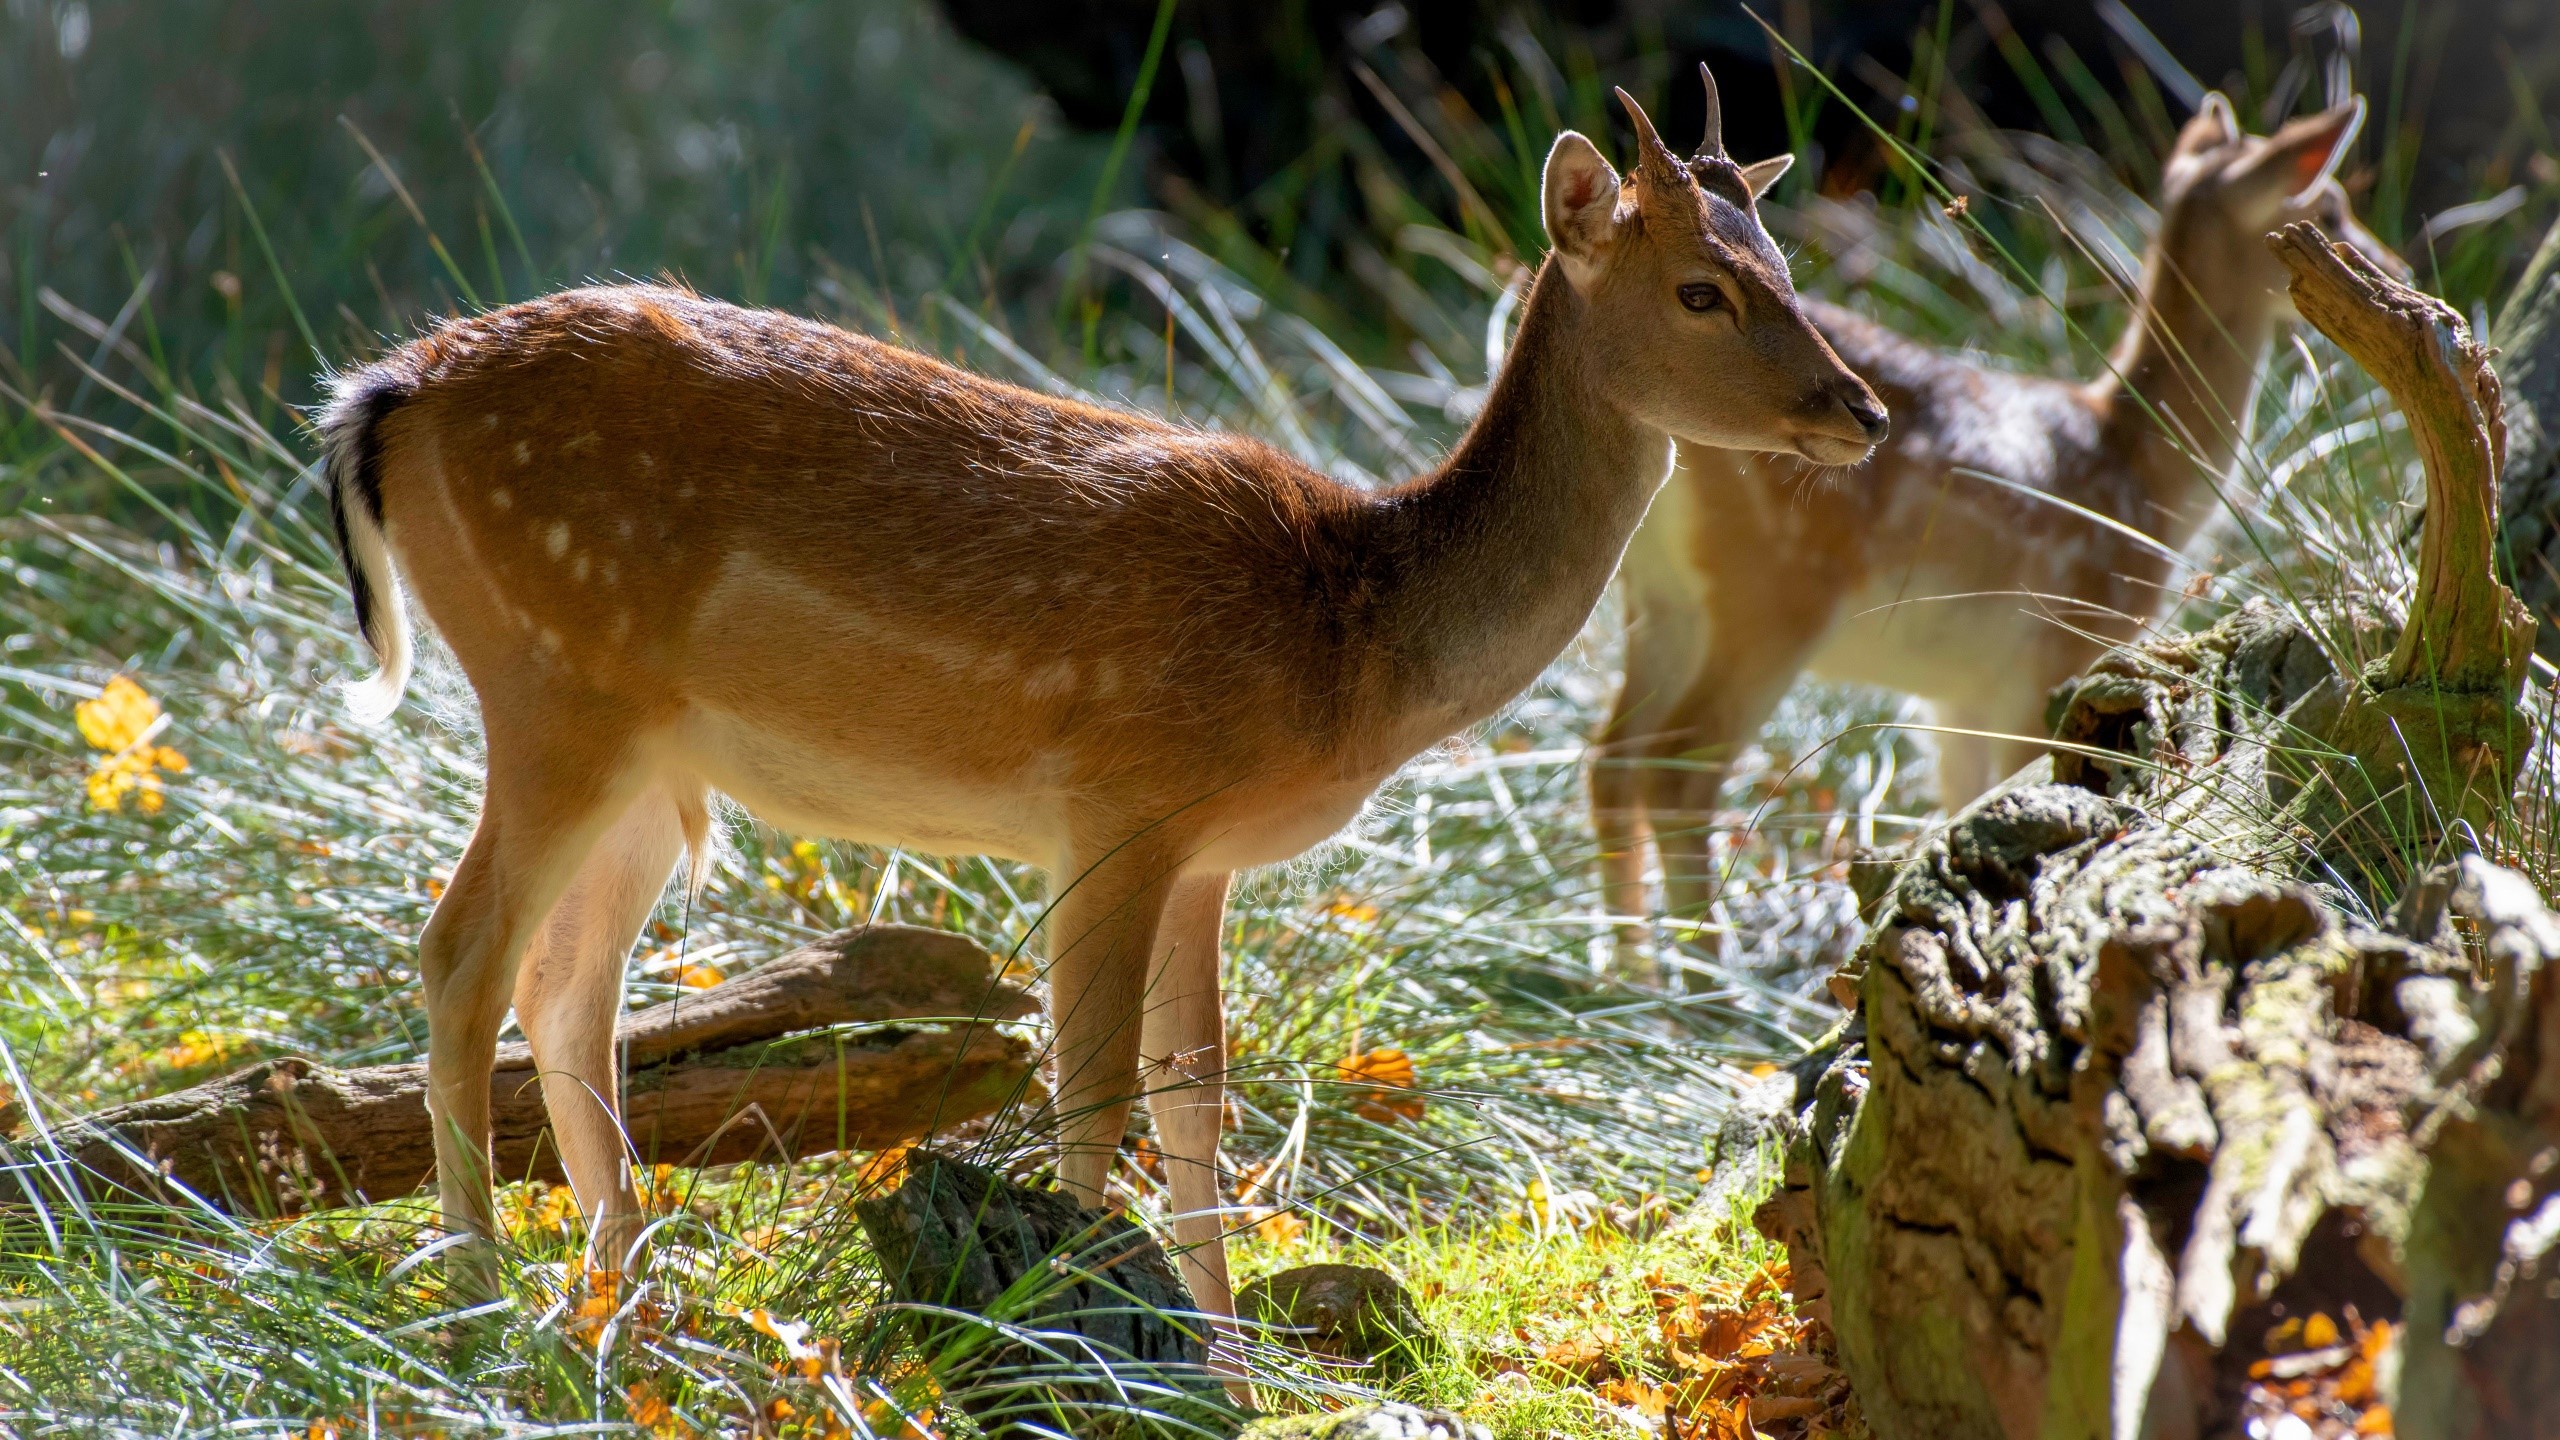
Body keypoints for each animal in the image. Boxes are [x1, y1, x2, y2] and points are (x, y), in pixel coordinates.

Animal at [313, 69, 1885, 1322]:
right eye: (1699, 289)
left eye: (1785, 265)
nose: (1862, 410)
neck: (1350, 640)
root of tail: (386, 392)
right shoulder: (1119, 801)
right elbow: (1092, 1083)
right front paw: (1077, 1328)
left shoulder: (1205, 856)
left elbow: (1197, 1091)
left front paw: (1231, 1358)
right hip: (553, 682)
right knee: (462, 956)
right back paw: (482, 1301)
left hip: (648, 757)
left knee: (566, 988)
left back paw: (628, 1306)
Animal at [1590, 93, 2403, 951]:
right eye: (2331, 207)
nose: (2403, 270)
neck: (2142, 472)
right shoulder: (2058, 654)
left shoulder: (1961, 697)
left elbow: (1960, 810)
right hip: (1772, 593)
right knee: (1677, 772)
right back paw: (1706, 974)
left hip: (1660, 598)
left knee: (1612, 761)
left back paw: (1624, 965)